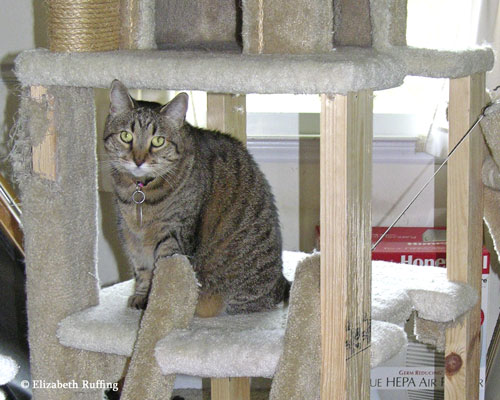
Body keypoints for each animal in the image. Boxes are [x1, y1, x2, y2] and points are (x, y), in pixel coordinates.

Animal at [103, 80, 288, 316]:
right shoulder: (129, 235)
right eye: (126, 136)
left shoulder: (173, 235)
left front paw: (157, 307)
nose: (138, 160)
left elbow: (164, 274)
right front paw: (142, 298)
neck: (140, 192)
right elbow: (141, 270)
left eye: (158, 141)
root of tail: (280, 282)